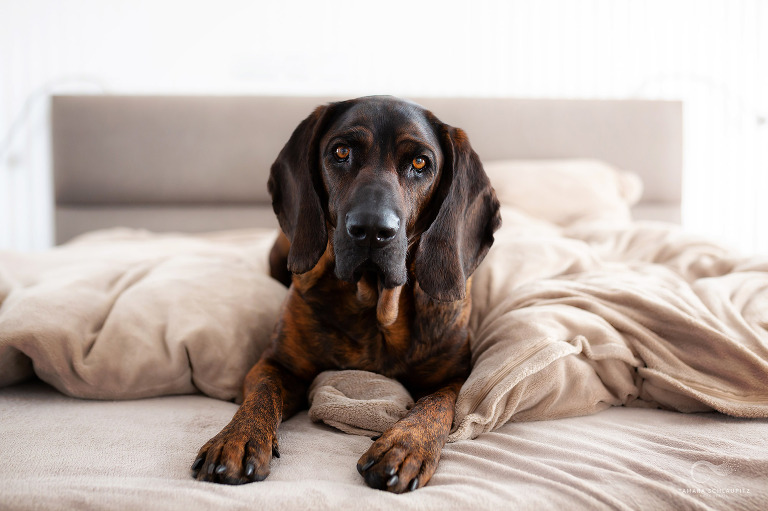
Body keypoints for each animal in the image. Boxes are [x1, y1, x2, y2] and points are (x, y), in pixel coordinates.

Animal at [191, 95, 500, 492]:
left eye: (420, 163)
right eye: (341, 152)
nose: (372, 230)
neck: (375, 308)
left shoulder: (455, 377)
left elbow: (437, 405)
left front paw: (405, 444)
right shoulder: (277, 362)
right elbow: (261, 395)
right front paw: (237, 438)